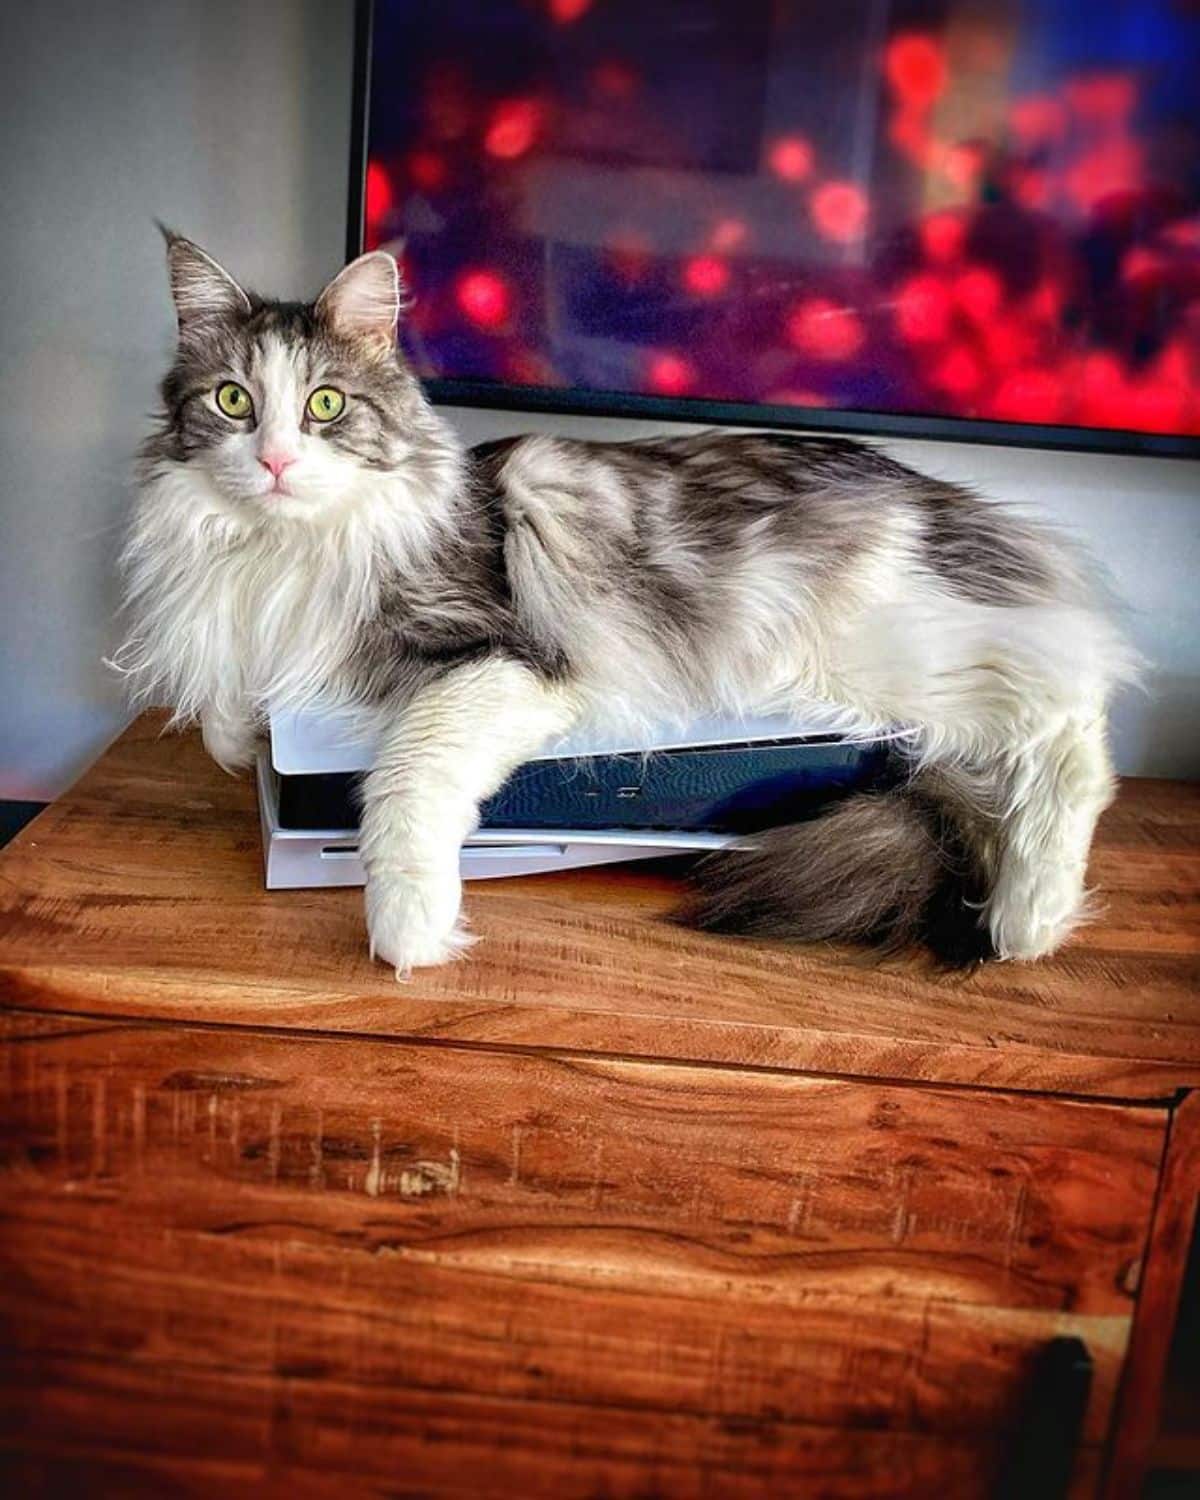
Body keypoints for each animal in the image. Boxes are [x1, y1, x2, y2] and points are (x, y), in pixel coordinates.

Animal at [117, 231, 1140, 972]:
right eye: (234, 402)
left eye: (326, 405)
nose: (275, 462)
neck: (284, 551)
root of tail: (937, 495)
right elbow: (222, 710)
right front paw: (241, 737)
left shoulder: (500, 656)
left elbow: (404, 784)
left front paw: (411, 932)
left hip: (888, 650)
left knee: (1073, 720)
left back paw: (1030, 917)